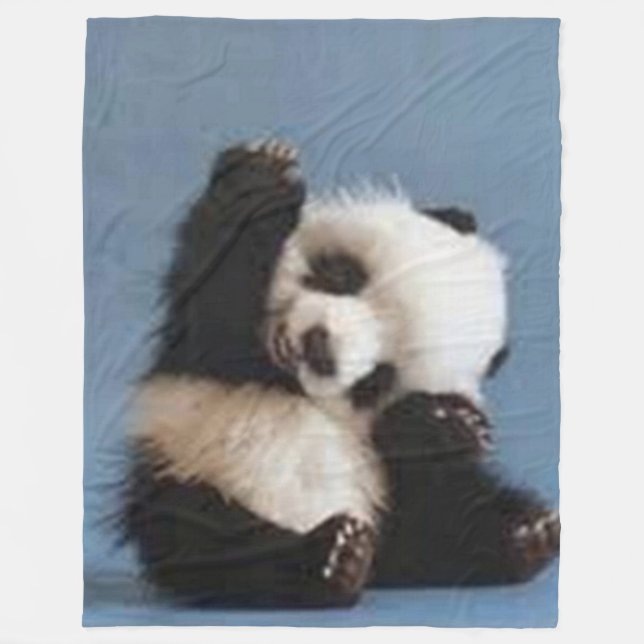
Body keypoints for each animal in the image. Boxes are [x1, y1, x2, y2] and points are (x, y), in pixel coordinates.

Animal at [123, 139, 560, 607]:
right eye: (341, 274)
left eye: (377, 380)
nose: (318, 347)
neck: (282, 377)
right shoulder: (202, 355)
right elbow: (215, 293)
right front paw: (262, 177)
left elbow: (414, 447)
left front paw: (451, 422)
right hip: (188, 471)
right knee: (210, 546)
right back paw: (327, 559)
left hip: (387, 504)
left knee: (441, 521)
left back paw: (525, 533)